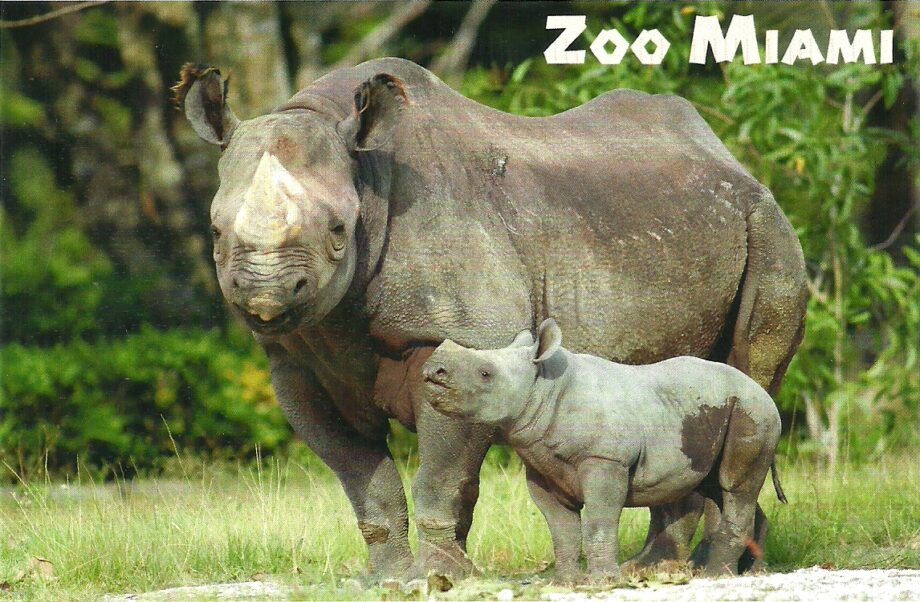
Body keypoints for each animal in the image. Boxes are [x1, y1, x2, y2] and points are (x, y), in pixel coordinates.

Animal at [423, 318, 786, 580]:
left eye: (485, 374)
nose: (432, 371)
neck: (544, 387)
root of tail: (763, 393)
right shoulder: (541, 467)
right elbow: (563, 530)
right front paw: (564, 583)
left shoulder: (605, 459)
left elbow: (599, 521)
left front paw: (603, 582)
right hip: (722, 411)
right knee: (721, 488)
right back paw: (753, 572)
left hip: (753, 412)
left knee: (734, 487)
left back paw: (715, 576)